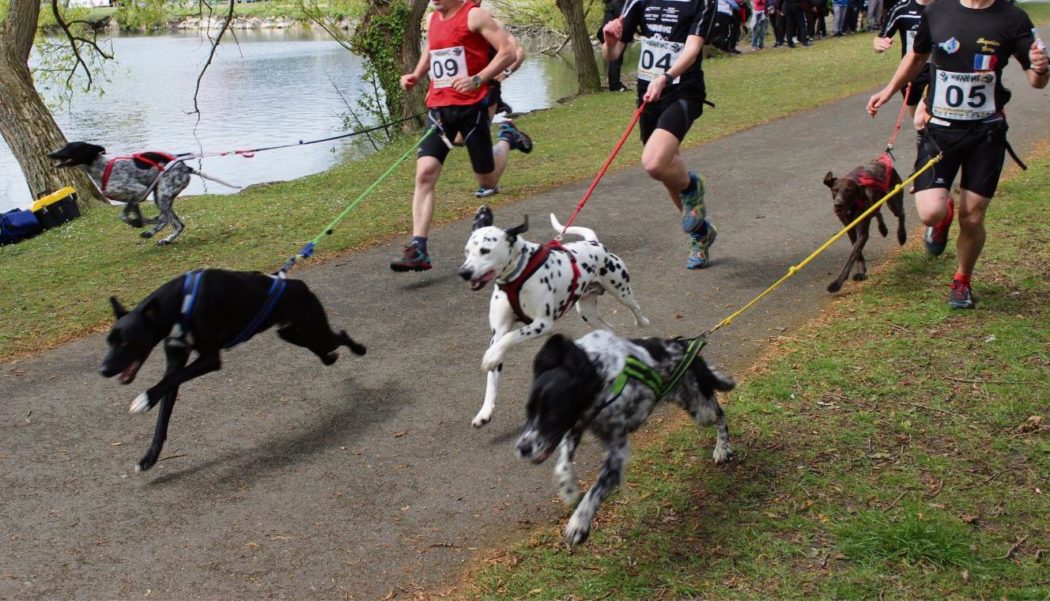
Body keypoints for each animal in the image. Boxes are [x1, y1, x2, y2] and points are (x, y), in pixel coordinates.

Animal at [48, 140, 236, 243]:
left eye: (70, 148)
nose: (50, 154)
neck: (103, 169)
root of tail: (185, 167)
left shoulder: (137, 192)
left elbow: (124, 216)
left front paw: (140, 224)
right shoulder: (134, 199)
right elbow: (136, 216)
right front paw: (141, 221)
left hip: (162, 195)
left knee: (166, 219)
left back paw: (151, 232)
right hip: (160, 196)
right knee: (177, 224)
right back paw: (166, 239)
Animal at [102, 268, 365, 472]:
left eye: (125, 342)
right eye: (109, 341)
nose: (103, 370)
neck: (182, 302)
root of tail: (300, 285)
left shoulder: (209, 359)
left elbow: (169, 382)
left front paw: (143, 400)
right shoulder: (176, 360)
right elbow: (164, 410)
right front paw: (149, 458)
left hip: (314, 330)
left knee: (340, 336)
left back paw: (359, 348)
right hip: (293, 334)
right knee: (324, 350)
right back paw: (331, 358)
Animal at [457, 206, 646, 426]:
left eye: (485, 251)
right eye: (467, 251)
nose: (464, 272)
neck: (518, 275)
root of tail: (594, 243)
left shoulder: (542, 324)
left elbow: (510, 337)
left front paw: (490, 357)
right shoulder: (498, 333)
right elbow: (493, 372)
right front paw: (485, 410)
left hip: (621, 291)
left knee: (635, 307)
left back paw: (642, 324)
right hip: (587, 313)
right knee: (609, 330)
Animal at [518, 332, 739, 546]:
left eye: (554, 413)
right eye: (529, 411)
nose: (522, 448)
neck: (603, 381)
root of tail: (686, 346)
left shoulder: (616, 454)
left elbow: (595, 491)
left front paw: (578, 523)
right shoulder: (577, 426)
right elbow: (562, 463)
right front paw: (569, 488)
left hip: (700, 409)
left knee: (720, 415)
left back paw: (722, 449)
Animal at [818, 152, 902, 294]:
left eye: (848, 191)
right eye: (835, 190)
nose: (838, 205)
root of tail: (881, 161)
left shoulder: (862, 232)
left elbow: (852, 255)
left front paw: (836, 284)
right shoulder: (849, 229)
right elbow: (857, 252)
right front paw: (861, 271)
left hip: (893, 201)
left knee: (901, 214)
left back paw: (902, 235)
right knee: (877, 213)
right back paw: (883, 228)